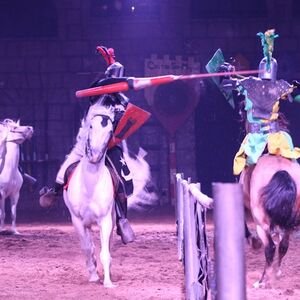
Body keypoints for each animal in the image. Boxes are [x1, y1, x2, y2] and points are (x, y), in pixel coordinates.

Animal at [240, 154, 300, 288]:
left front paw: (254, 241)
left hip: (261, 224)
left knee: (270, 248)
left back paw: (261, 281)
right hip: (289, 224)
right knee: (283, 246)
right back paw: (276, 273)